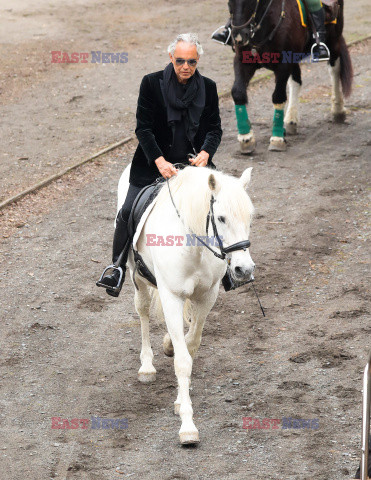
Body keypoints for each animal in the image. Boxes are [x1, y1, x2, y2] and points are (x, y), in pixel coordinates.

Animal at [116, 166, 256, 446]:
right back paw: (146, 366)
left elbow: (190, 344)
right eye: (221, 218)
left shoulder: (207, 295)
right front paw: (188, 427)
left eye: (250, 218)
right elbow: (182, 360)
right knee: (143, 310)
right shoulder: (170, 295)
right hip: (137, 276)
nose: (244, 269)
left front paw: (181, 398)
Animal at [230, 0, 354, 152]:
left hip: (334, 40)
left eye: (252, 1)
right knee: (296, 81)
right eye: (229, 2)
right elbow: (238, 92)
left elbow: (278, 97)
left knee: (334, 70)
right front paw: (246, 138)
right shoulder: (242, 61)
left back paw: (338, 110)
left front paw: (277, 138)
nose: (239, 36)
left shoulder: (283, 65)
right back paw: (290, 119)